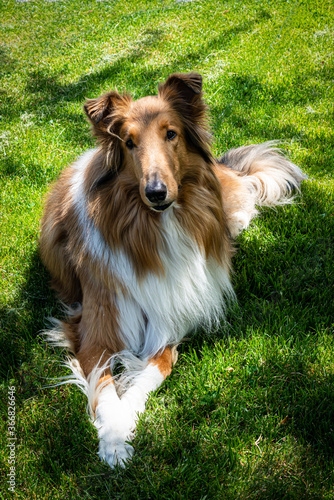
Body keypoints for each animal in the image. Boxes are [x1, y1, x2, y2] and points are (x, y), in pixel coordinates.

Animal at [39, 72, 306, 466]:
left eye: (171, 134)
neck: (156, 228)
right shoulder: (94, 332)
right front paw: (114, 437)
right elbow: (105, 388)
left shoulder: (169, 319)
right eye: (129, 143)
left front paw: (125, 420)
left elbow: (152, 374)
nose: (156, 192)